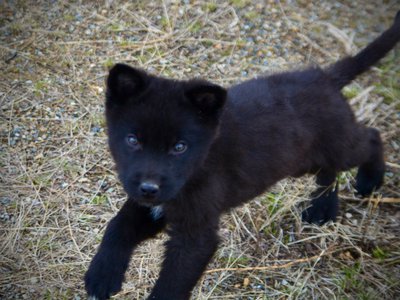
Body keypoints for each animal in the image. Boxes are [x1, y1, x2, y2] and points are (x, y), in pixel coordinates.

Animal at [85, 13, 400, 300]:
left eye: (180, 147)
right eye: (132, 140)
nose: (149, 188)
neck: (199, 166)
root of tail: (325, 77)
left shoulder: (195, 234)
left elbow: (171, 284)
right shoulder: (153, 205)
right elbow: (117, 225)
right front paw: (102, 274)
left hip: (337, 144)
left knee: (370, 137)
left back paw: (370, 180)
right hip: (304, 159)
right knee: (329, 168)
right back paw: (322, 208)